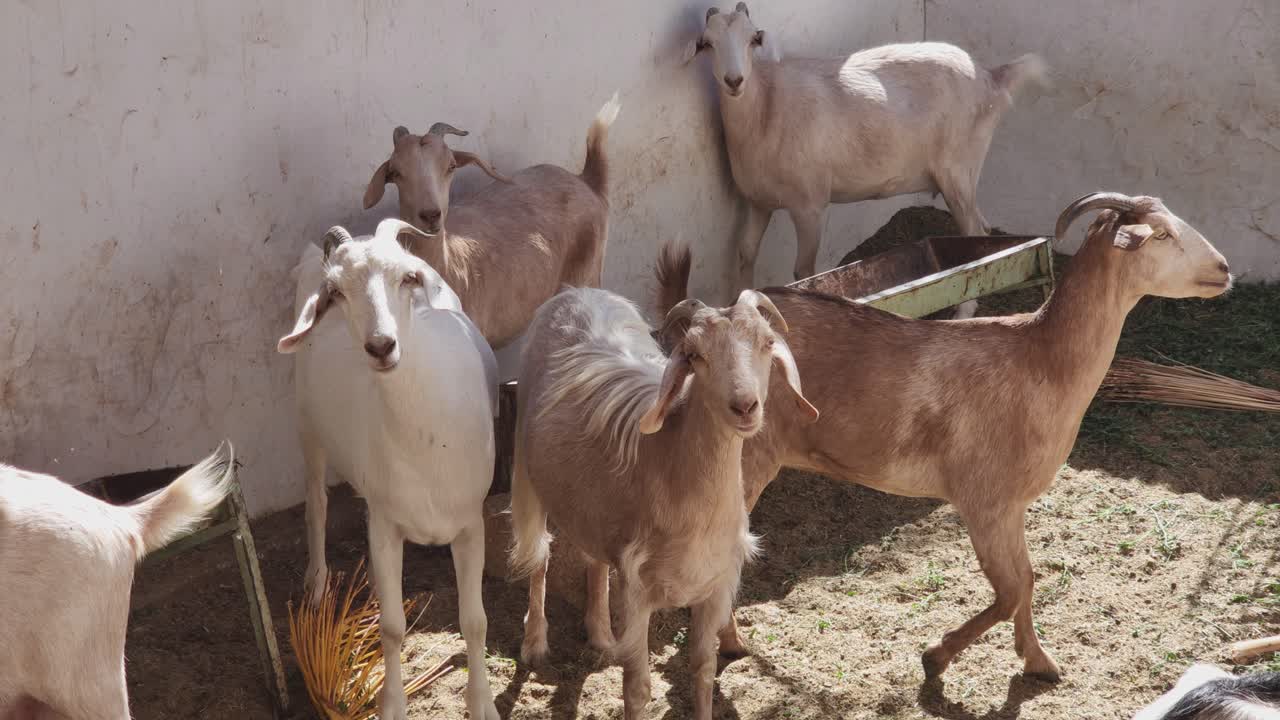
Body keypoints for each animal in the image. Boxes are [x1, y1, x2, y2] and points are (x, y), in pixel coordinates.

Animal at [278, 220, 500, 720]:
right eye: (337, 293)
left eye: (406, 278)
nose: (381, 346)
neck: (424, 439)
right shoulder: (383, 524)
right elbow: (394, 628)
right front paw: (393, 704)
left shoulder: (470, 522)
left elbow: (475, 621)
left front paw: (482, 702)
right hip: (305, 424)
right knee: (316, 503)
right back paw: (317, 586)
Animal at [362, 95, 621, 350]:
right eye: (395, 172)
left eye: (451, 166)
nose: (430, 215)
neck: (449, 262)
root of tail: (587, 181)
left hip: (588, 274)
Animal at [508, 287, 818, 719]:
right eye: (695, 354)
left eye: (767, 342)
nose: (745, 407)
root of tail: (577, 292)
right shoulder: (637, 595)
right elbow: (637, 689)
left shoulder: (714, 589)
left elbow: (703, 671)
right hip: (530, 472)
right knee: (540, 554)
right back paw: (535, 644)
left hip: (594, 508)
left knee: (594, 557)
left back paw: (601, 636)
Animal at [648, 192, 1232, 681]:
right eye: (1162, 235)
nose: (1224, 269)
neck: (1042, 361)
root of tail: (694, 338)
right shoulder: (983, 499)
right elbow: (1011, 590)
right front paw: (937, 656)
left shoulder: (1011, 505)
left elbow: (1027, 580)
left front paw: (1039, 662)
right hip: (746, 462)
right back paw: (727, 642)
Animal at [684, 3, 1046, 319]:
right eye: (708, 43)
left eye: (753, 39)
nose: (734, 81)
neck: (766, 105)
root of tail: (991, 78)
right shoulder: (758, 201)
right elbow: (746, 253)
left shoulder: (810, 205)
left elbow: (804, 271)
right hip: (966, 171)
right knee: (982, 227)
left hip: (956, 167)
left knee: (973, 228)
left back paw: (965, 311)